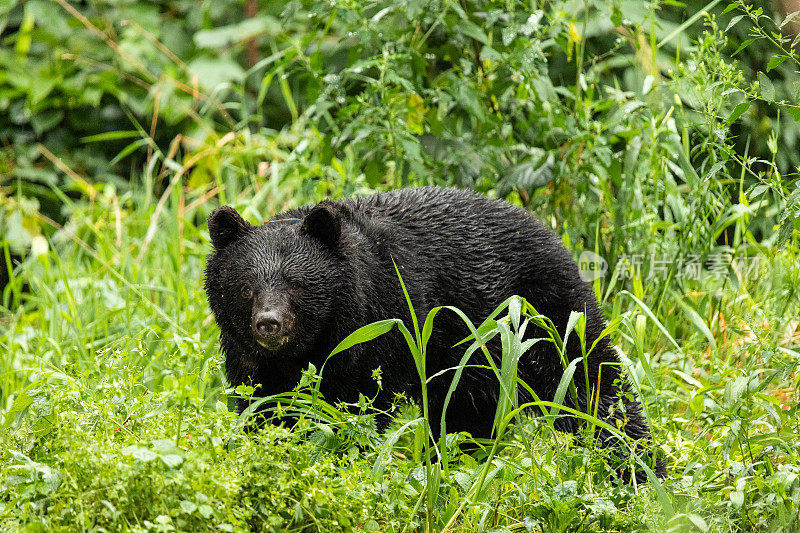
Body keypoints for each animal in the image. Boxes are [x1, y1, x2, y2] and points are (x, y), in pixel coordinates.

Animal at [203, 186, 664, 478]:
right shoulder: (253, 361)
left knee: (593, 384)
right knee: (467, 415)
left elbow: (358, 408)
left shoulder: (383, 328)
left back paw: (641, 471)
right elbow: (263, 406)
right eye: (246, 287)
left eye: (296, 284)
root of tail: (553, 234)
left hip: (544, 315)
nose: (269, 323)